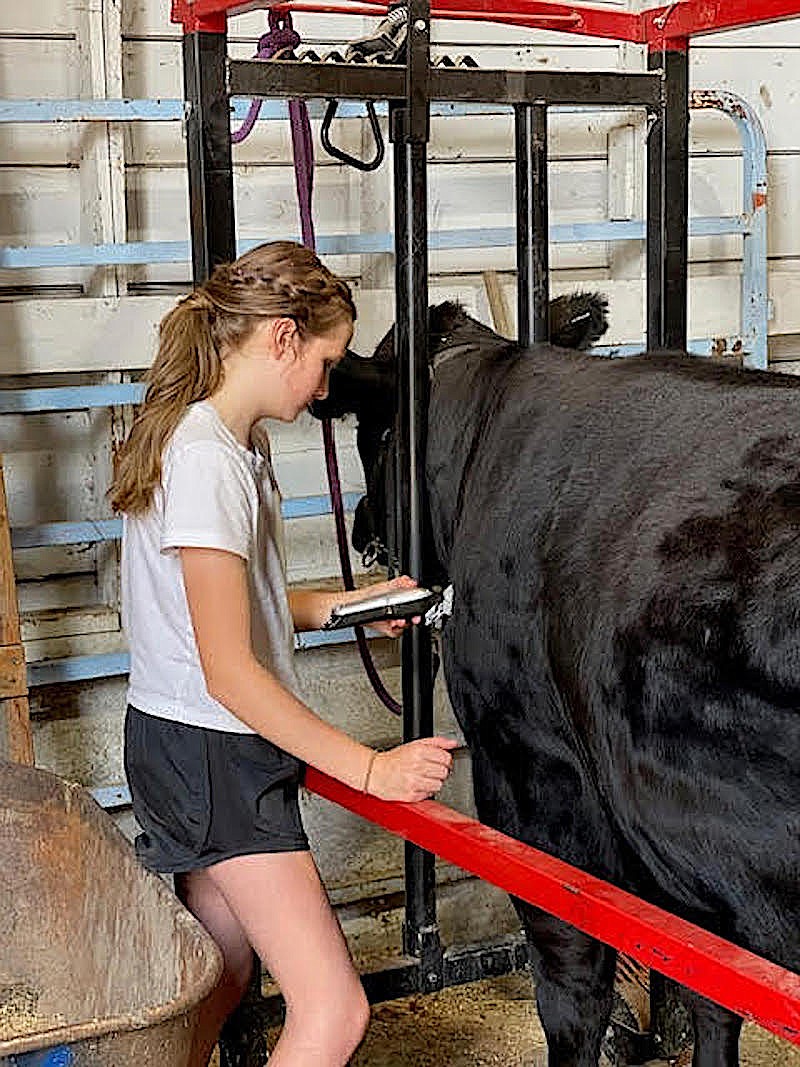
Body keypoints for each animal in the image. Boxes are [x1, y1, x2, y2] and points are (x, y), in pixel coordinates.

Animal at [311, 298, 800, 1067]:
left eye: (372, 432)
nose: (360, 525)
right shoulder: (683, 848)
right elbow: (714, 999)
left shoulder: (536, 781)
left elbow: (575, 992)